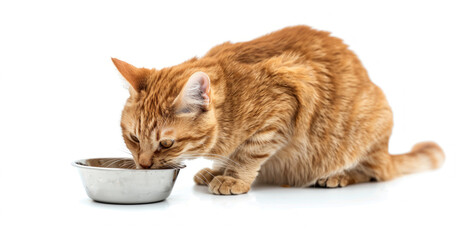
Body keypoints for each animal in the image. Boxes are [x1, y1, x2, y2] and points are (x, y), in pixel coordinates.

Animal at [113, 25, 446, 195]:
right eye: (133, 138)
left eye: (166, 143)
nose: (143, 164)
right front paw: (219, 170)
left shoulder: (285, 101)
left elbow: (248, 153)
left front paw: (234, 178)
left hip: (368, 125)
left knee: (376, 173)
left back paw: (339, 176)